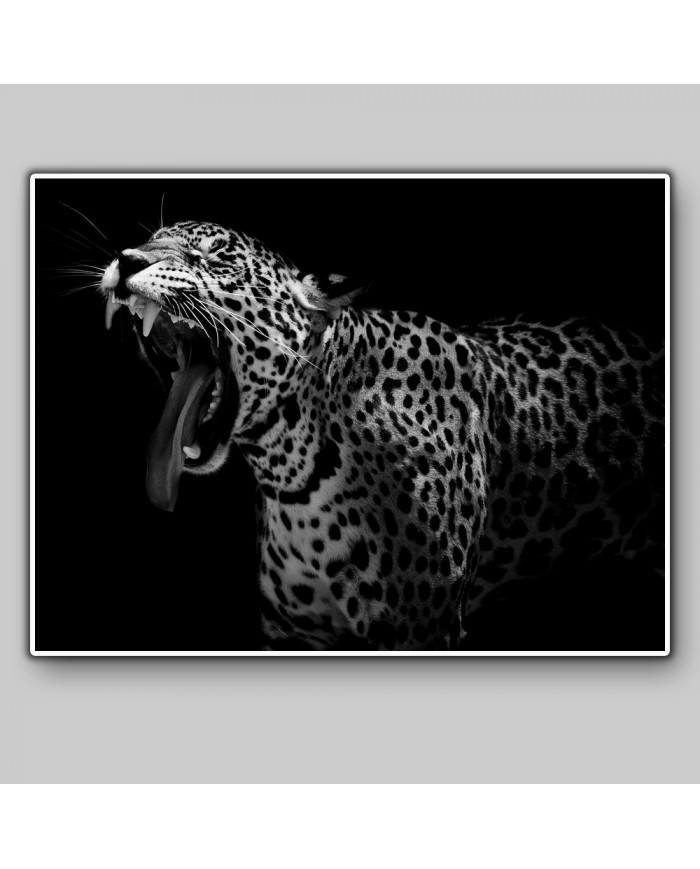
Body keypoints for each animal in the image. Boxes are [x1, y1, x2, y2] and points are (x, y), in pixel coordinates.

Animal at [99, 220, 665, 651]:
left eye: (214, 257)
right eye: (150, 238)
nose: (126, 260)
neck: (293, 470)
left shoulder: (422, 626)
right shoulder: (296, 632)